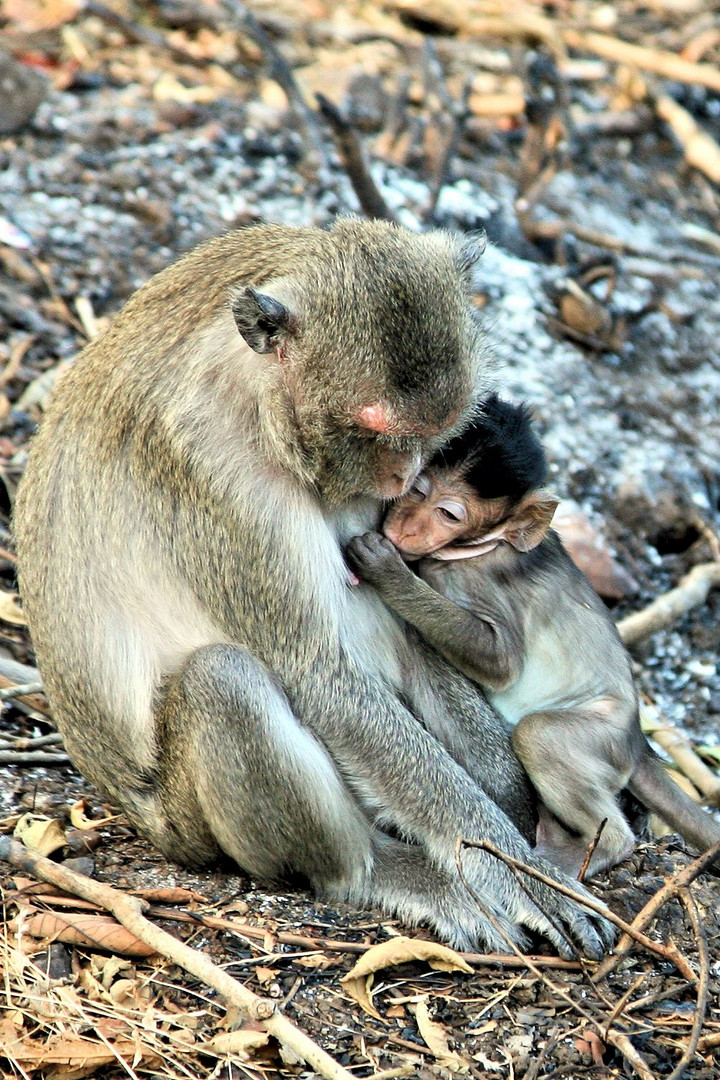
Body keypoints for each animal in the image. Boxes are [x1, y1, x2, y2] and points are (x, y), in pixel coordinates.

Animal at [16, 219, 613, 954]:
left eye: (435, 434)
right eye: (372, 427)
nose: (400, 479)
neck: (254, 403)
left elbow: (403, 619)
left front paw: (512, 811)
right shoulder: (219, 483)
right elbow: (318, 674)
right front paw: (515, 871)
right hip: (186, 822)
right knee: (225, 679)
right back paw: (378, 869)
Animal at [345, 395, 716, 876]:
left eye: (448, 514)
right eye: (418, 490)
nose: (405, 525)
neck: (484, 545)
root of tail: (637, 741)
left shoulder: (480, 581)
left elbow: (503, 663)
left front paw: (390, 571)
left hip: (604, 734)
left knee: (541, 738)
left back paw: (592, 849)